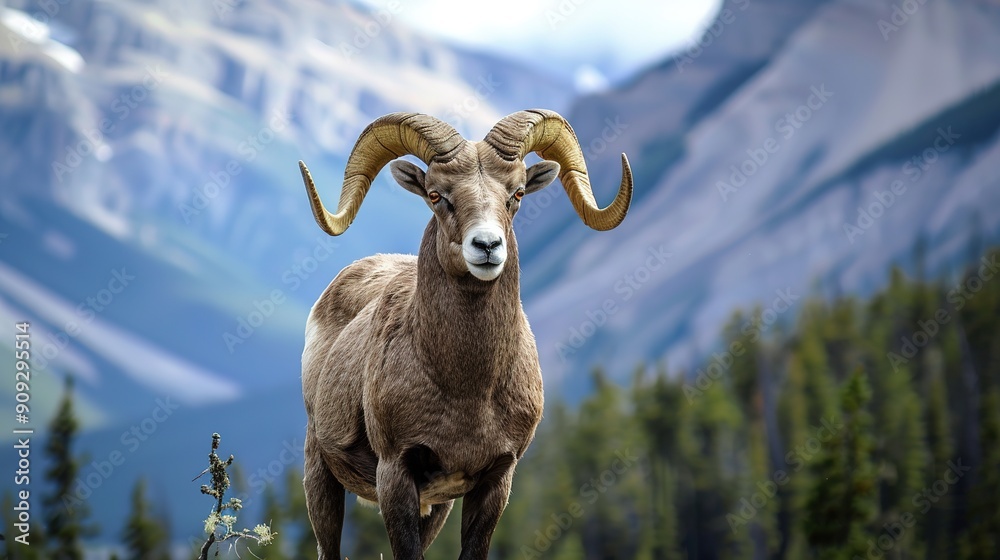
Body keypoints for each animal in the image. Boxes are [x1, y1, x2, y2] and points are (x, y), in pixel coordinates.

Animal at [296, 110, 636, 560]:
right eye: (436, 195)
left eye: (517, 193)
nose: (487, 246)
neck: (466, 390)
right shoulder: (396, 475)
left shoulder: (495, 480)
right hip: (320, 472)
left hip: (436, 508)